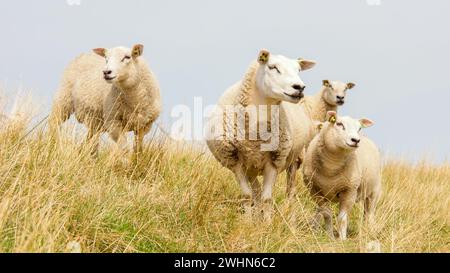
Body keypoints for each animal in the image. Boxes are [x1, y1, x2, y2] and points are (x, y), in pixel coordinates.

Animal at [205, 49, 316, 215]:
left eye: (298, 70)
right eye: (272, 67)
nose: (299, 87)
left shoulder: (275, 160)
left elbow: (267, 199)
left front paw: (267, 220)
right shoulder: (236, 162)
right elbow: (247, 196)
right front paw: (248, 220)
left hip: (295, 158)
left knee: (290, 190)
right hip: (251, 166)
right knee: (256, 192)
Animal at [300, 110, 382, 238]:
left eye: (359, 128)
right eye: (339, 124)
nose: (355, 140)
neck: (331, 169)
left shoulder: (349, 190)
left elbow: (342, 218)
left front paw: (342, 238)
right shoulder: (315, 190)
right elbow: (327, 214)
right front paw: (330, 236)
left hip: (374, 191)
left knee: (370, 214)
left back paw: (370, 231)